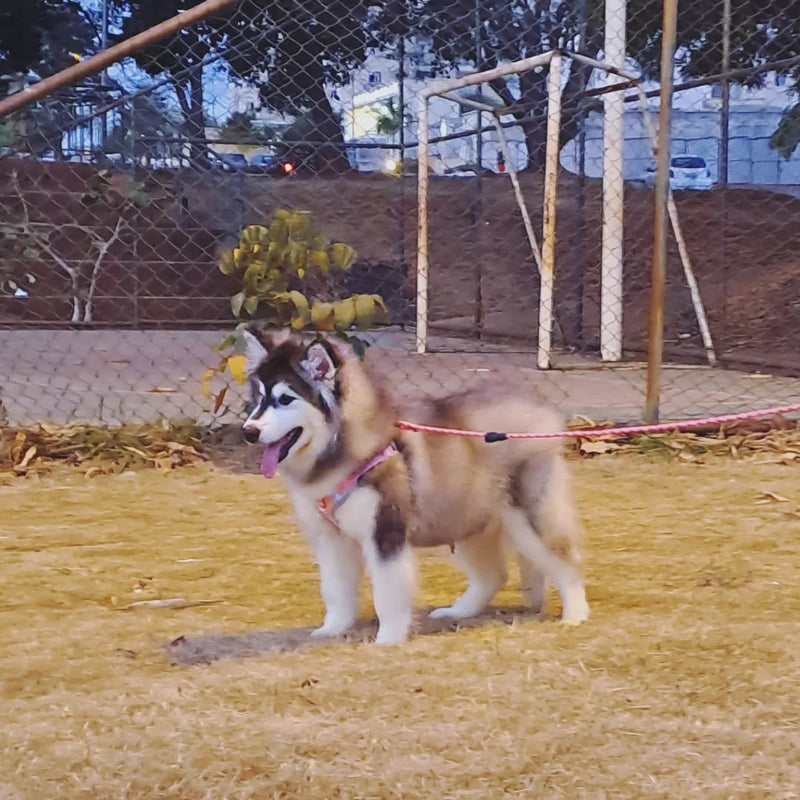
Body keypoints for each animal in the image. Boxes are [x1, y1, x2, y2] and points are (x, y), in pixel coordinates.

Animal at [239, 328, 588, 648]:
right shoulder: (330, 537)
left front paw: (388, 639)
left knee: (566, 562)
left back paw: (575, 614)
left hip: (530, 516)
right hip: (464, 517)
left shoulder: (384, 531)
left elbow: (388, 593)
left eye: (285, 399)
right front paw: (333, 628)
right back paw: (458, 611)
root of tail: (540, 412)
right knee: (493, 574)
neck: (345, 453)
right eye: (259, 398)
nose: (248, 432)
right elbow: (335, 589)